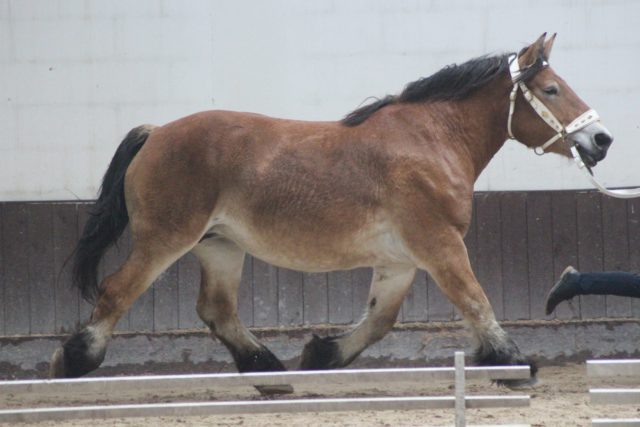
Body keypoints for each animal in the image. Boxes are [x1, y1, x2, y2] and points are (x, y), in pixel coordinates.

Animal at [48, 34, 608, 392]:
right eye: (552, 89)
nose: (602, 140)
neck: (432, 139)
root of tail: (157, 132)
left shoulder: (401, 260)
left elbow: (380, 320)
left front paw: (321, 355)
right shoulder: (440, 244)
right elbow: (476, 302)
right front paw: (514, 365)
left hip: (220, 245)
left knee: (217, 310)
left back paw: (271, 374)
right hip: (166, 239)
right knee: (117, 292)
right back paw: (70, 362)